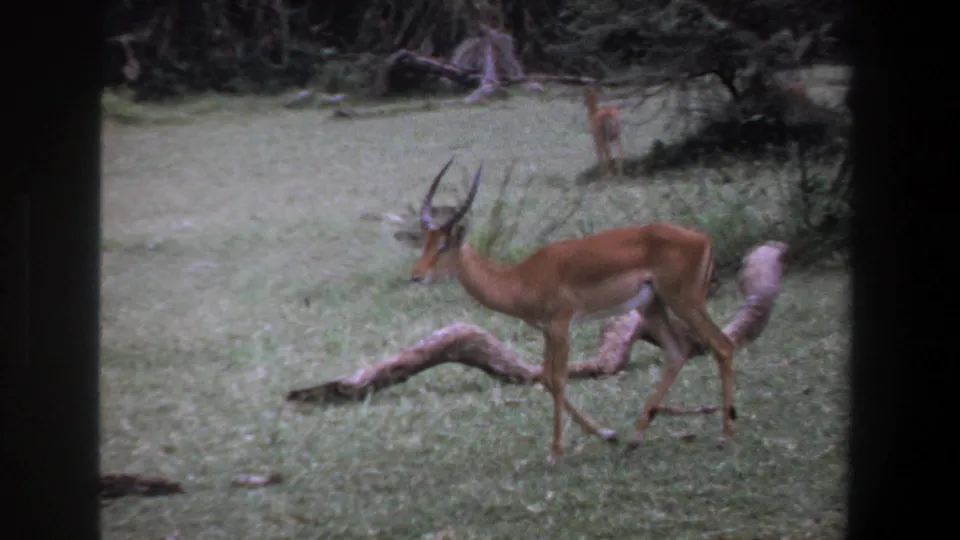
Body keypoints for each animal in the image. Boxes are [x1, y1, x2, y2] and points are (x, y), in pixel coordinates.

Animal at [410, 158, 736, 465]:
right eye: (424, 241)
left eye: (443, 244)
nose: (415, 276)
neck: (522, 278)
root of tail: (702, 238)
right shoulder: (545, 330)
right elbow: (544, 377)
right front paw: (607, 433)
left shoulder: (561, 324)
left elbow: (557, 379)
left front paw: (555, 453)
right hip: (652, 307)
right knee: (677, 352)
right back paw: (635, 437)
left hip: (685, 302)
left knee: (722, 345)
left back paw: (725, 436)